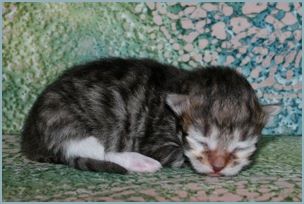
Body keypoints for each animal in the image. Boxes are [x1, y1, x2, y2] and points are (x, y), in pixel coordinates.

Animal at [20, 57, 280, 175]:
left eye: (240, 147)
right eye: (201, 141)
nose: (218, 167)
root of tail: (29, 140)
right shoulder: (157, 140)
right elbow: (181, 156)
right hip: (61, 118)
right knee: (95, 150)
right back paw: (139, 161)